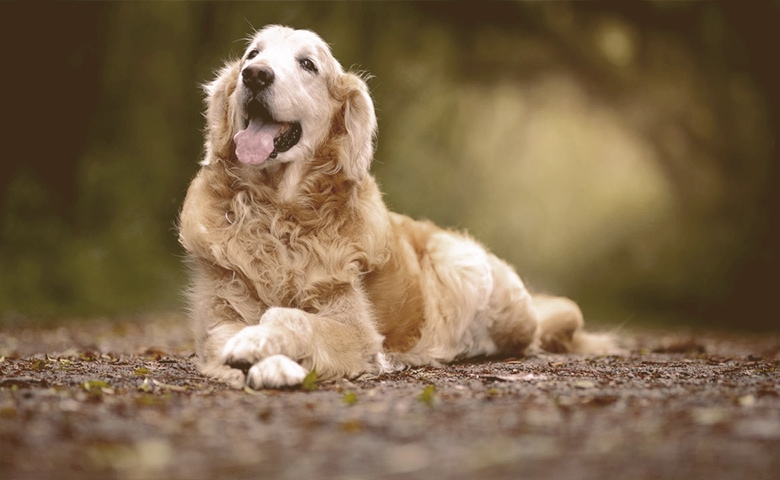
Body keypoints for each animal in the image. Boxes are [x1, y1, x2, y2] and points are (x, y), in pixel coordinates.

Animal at [178, 24, 616, 388]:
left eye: (308, 64)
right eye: (252, 55)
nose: (255, 75)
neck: (277, 213)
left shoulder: (356, 331)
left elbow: (289, 316)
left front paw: (264, 348)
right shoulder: (217, 318)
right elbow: (229, 334)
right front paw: (260, 357)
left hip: (462, 263)